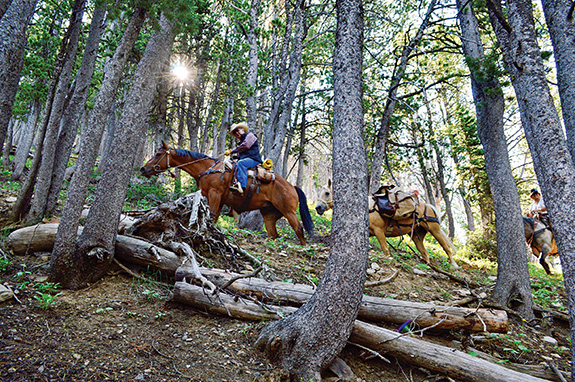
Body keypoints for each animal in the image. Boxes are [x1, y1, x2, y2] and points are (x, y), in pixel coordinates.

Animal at [141, 141, 316, 245]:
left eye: (158, 154)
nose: (143, 169)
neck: (208, 169)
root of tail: (292, 187)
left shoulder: (215, 195)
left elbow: (212, 217)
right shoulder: (212, 198)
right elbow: (213, 218)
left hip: (288, 211)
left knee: (299, 229)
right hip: (269, 214)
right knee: (273, 234)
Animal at [316, 181, 460, 266]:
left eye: (327, 193)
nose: (318, 208)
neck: (368, 208)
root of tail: (428, 206)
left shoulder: (379, 231)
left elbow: (386, 250)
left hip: (435, 230)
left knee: (446, 248)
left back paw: (453, 264)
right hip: (417, 236)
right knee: (425, 253)